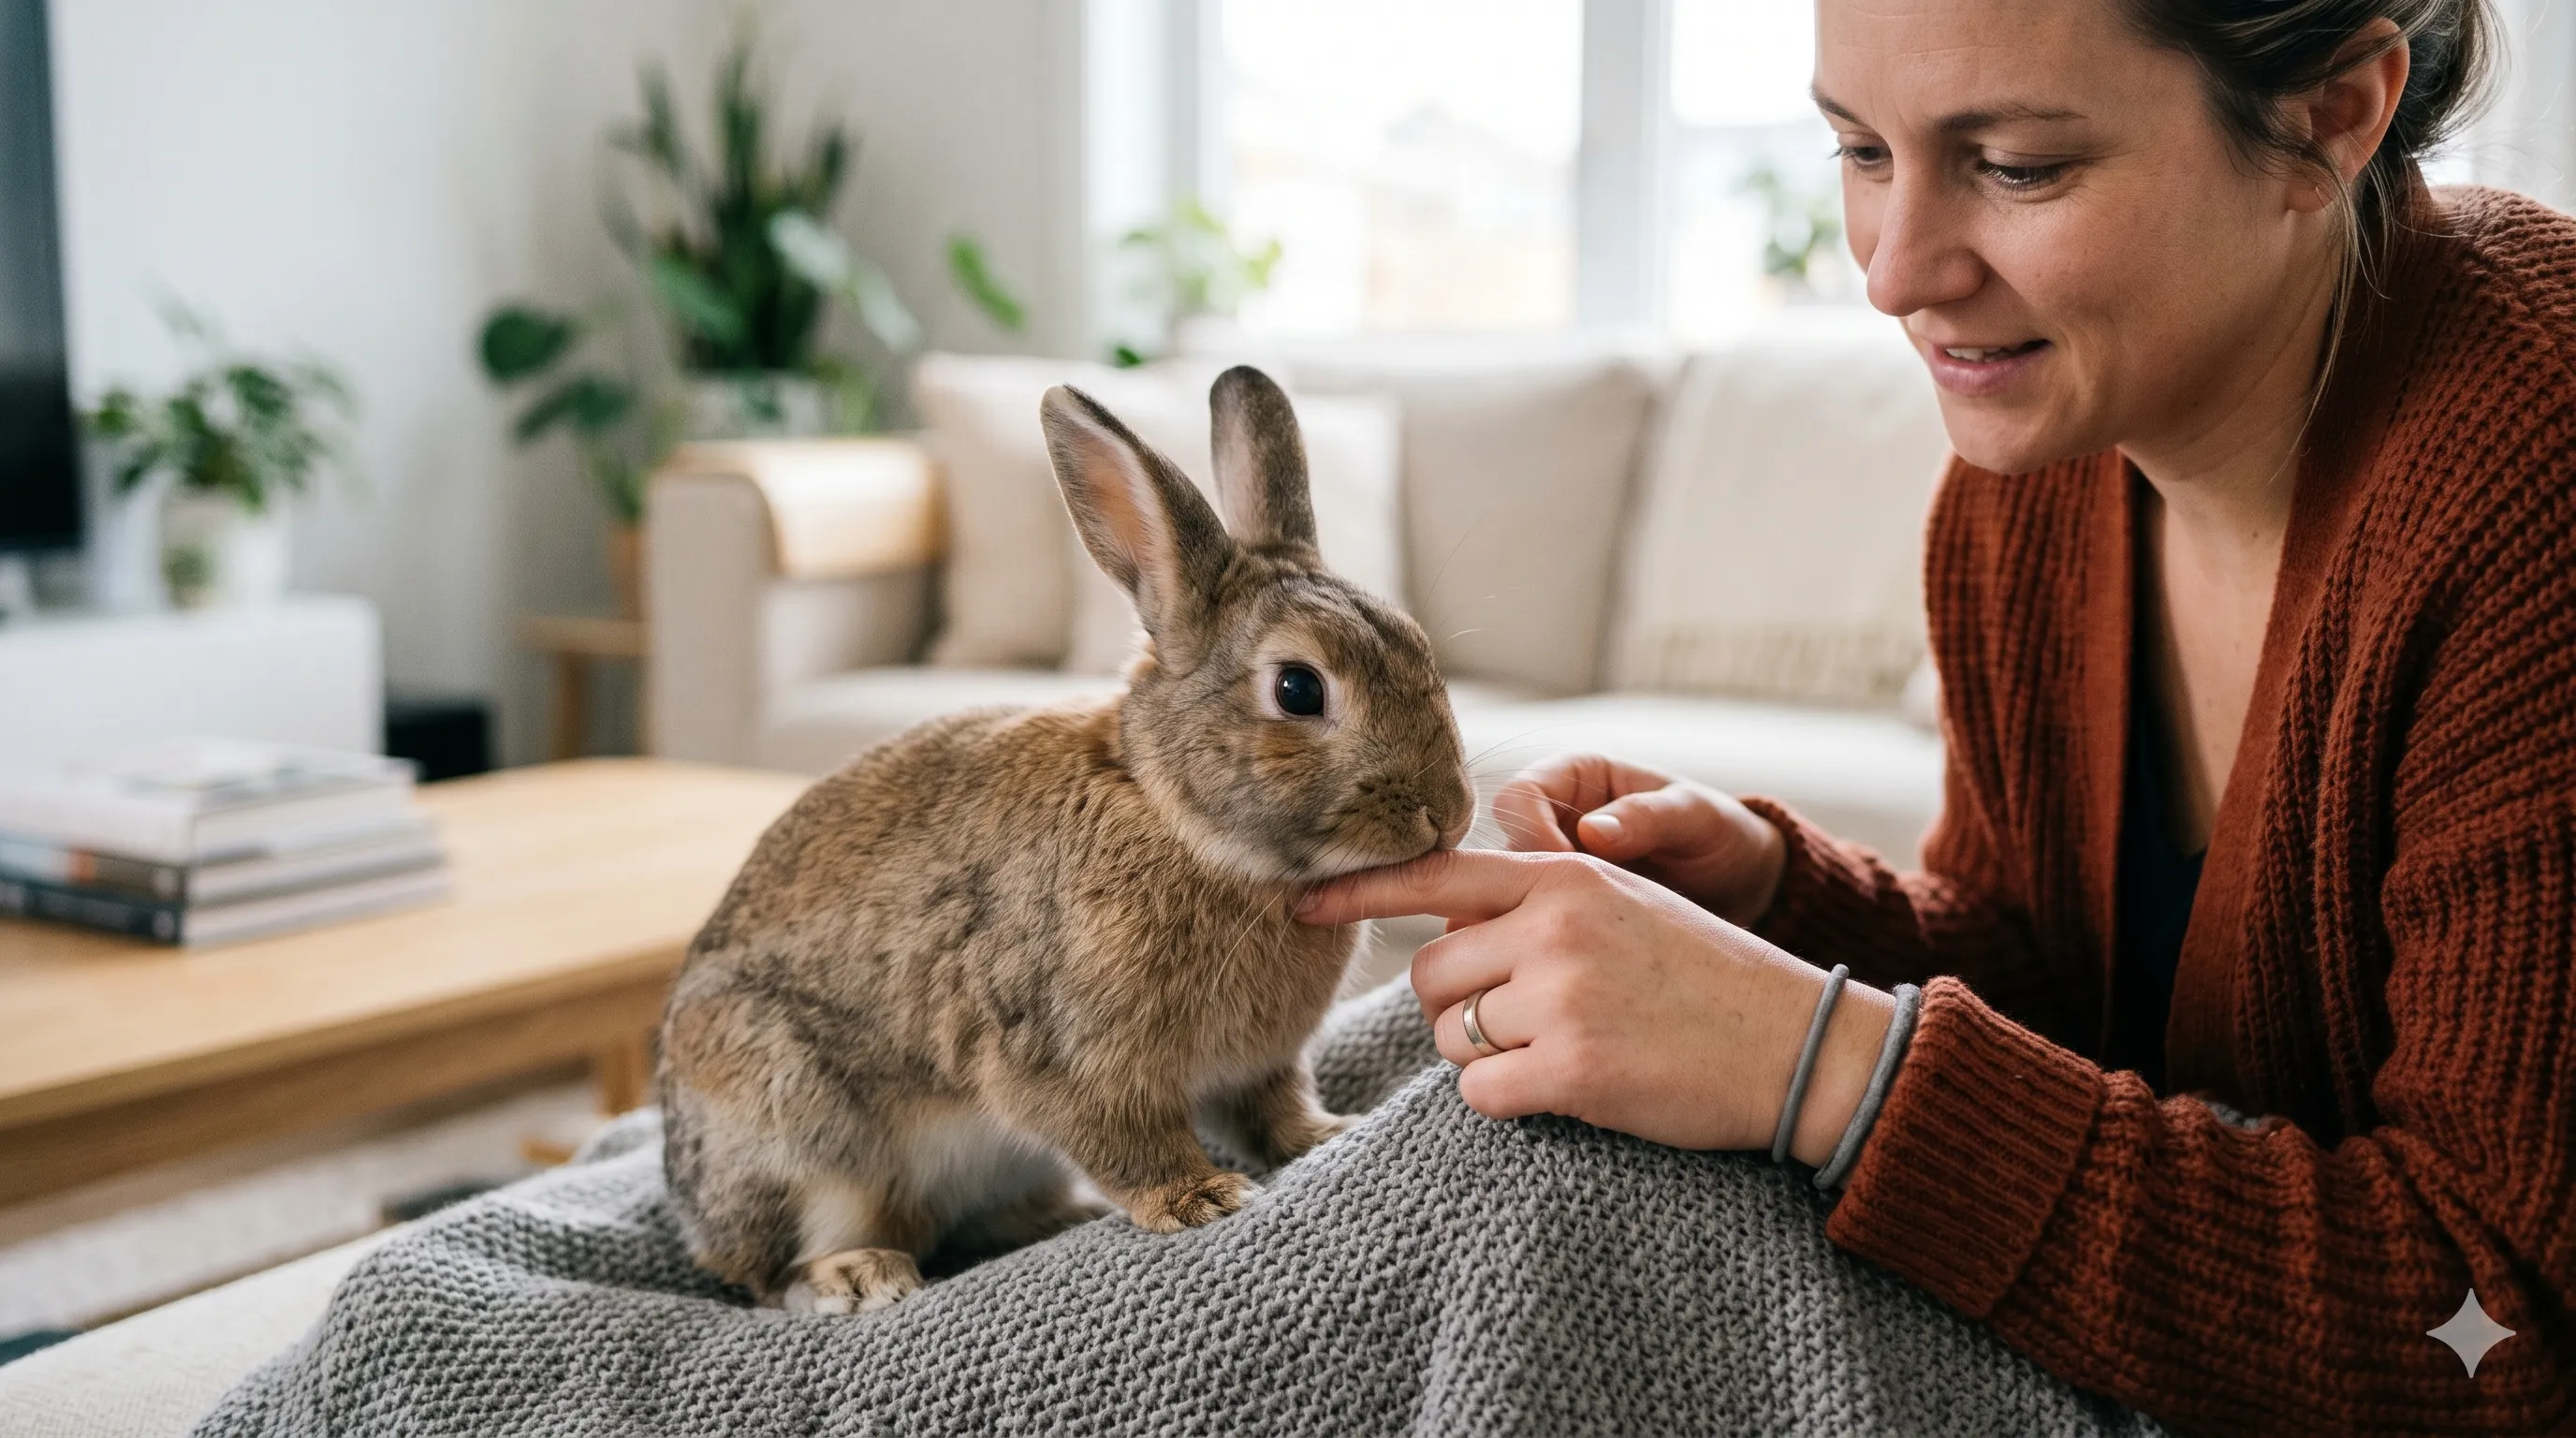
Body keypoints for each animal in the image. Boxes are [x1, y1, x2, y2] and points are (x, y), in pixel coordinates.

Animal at [658, 365, 1475, 1315]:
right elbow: (1125, 1135)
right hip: (797, 1126)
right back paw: (860, 1274)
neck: (1174, 818)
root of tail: (694, 1202)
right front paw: (1201, 1198)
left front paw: (1322, 1136)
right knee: (776, 1268)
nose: (1449, 813)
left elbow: (1270, 1110)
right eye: (1299, 689)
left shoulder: (1258, 1066)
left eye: (1419, 646)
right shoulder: (1062, 1053)